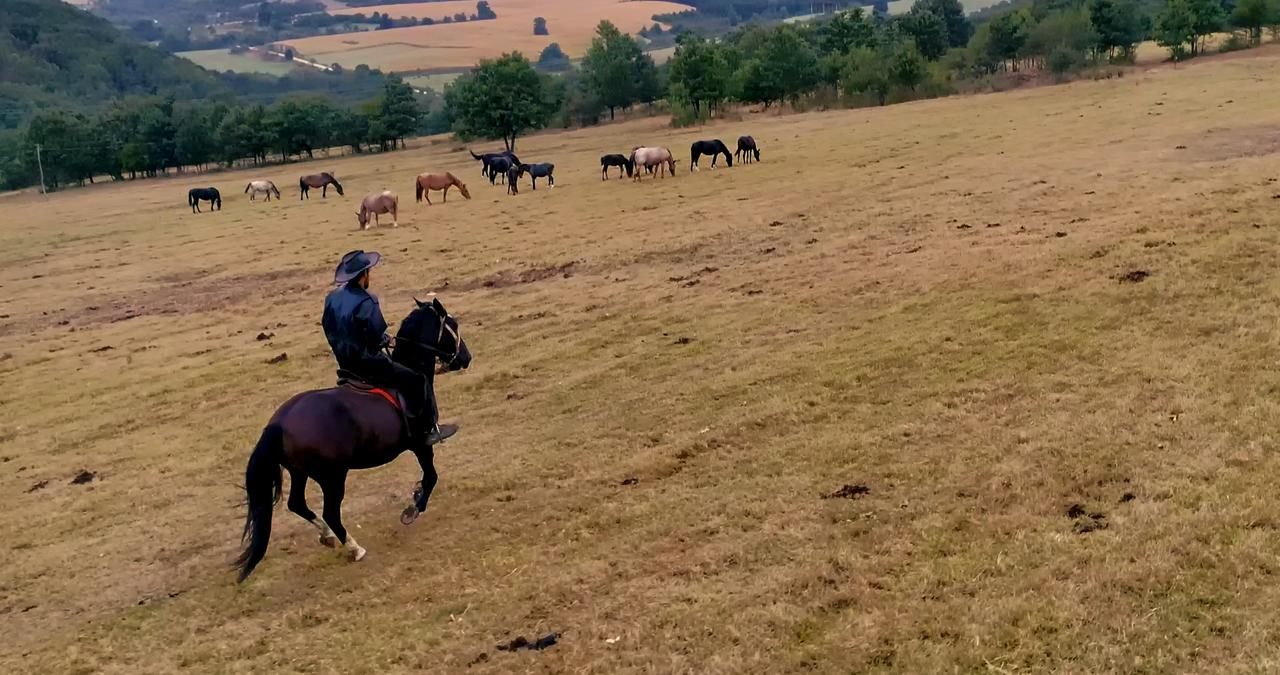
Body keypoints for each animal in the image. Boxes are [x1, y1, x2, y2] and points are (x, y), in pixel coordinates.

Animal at [234, 298, 471, 584]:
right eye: (452, 325)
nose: (466, 357)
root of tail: (279, 422)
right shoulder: (421, 444)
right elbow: (431, 477)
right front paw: (413, 508)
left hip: (300, 472)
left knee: (297, 504)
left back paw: (327, 536)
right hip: (332, 476)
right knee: (330, 512)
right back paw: (354, 548)